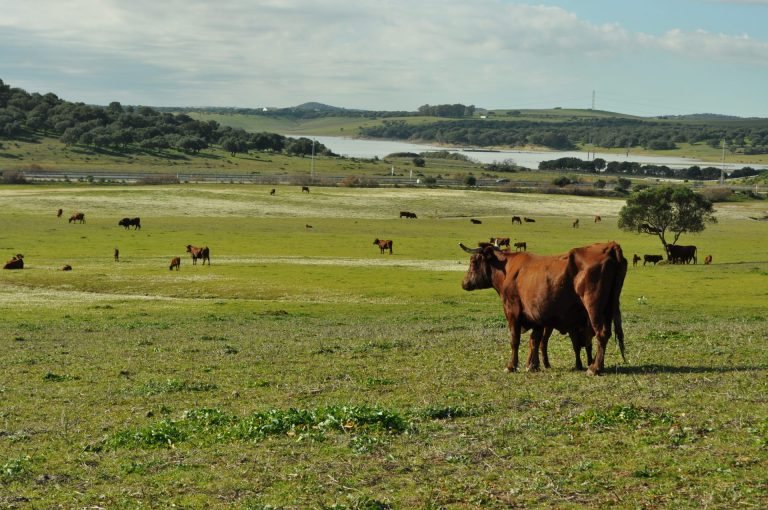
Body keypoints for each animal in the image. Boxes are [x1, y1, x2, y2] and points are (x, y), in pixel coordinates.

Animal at [460, 239, 628, 374]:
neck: (507, 269)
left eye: (473, 261)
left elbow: (515, 340)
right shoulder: (537, 315)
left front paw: (511, 366)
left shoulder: (512, 311)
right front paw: (533, 365)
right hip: (609, 308)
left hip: (594, 307)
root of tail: (609, 246)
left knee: (602, 333)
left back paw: (594, 368)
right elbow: (535, 340)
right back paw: (598, 365)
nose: (464, 283)